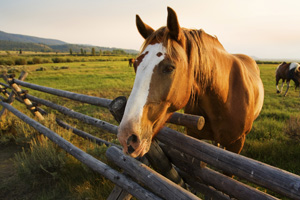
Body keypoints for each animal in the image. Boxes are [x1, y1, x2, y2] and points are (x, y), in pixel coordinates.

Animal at [118, 7, 264, 158]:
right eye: (135, 65)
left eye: (170, 68)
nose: (127, 137)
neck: (224, 99)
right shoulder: (193, 136)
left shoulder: (237, 144)